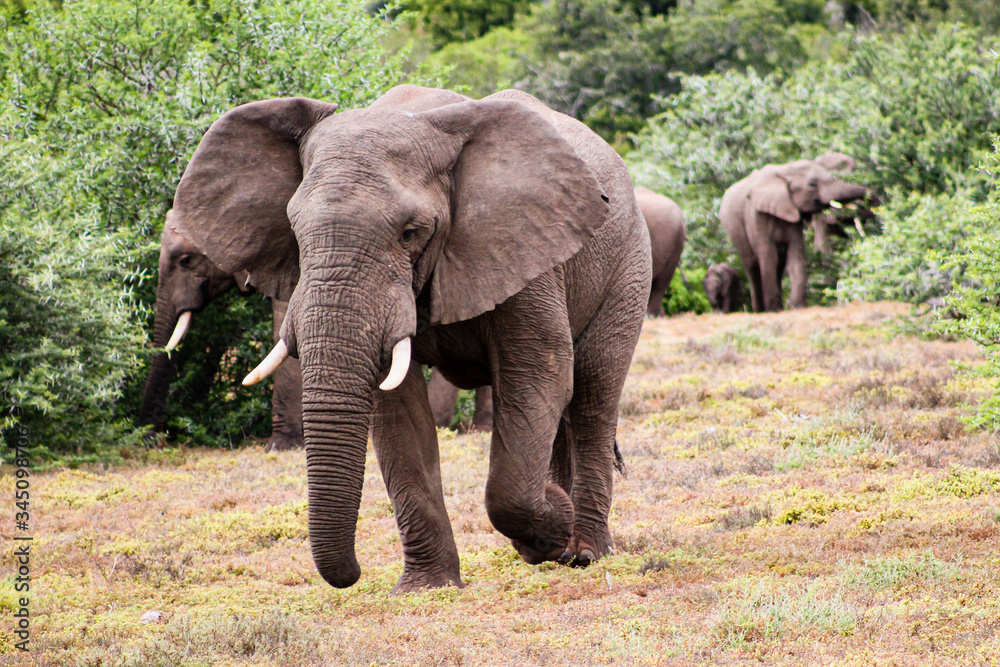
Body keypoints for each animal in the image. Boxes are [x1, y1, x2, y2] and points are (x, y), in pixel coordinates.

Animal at [168, 86, 652, 592]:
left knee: (593, 395)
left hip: (629, 264)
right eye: (295, 231)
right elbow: (398, 409)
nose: (354, 575)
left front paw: (552, 525)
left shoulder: (525, 248)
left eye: (409, 233)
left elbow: (540, 372)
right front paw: (428, 587)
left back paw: (584, 551)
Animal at [720, 156, 868, 314]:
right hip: (735, 230)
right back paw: (760, 310)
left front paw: (799, 307)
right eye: (812, 184)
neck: (785, 170)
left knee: (779, 264)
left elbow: (795, 254)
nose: (871, 197)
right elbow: (768, 256)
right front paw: (773, 310)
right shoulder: (756, 215)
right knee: (752, 265)